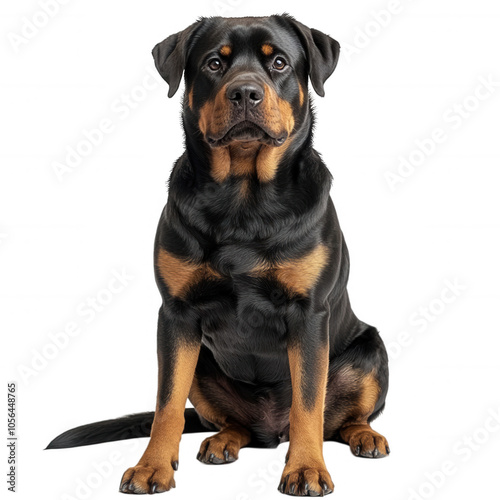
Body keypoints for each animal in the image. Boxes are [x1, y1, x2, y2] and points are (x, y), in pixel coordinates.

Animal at [47, 14, 388, 496]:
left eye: (279, 62)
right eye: (214, 63)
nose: (245, 92)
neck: (243, 197)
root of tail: (271, 430)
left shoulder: (308, 313)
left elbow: (308, 402)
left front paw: (305, 469)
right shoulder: (176, 315)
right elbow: (166, 402)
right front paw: (152, 466)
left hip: (370, 351)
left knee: (341, 418)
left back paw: (365, 435)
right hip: (205, 366)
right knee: (233, 422)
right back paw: (223, 440)